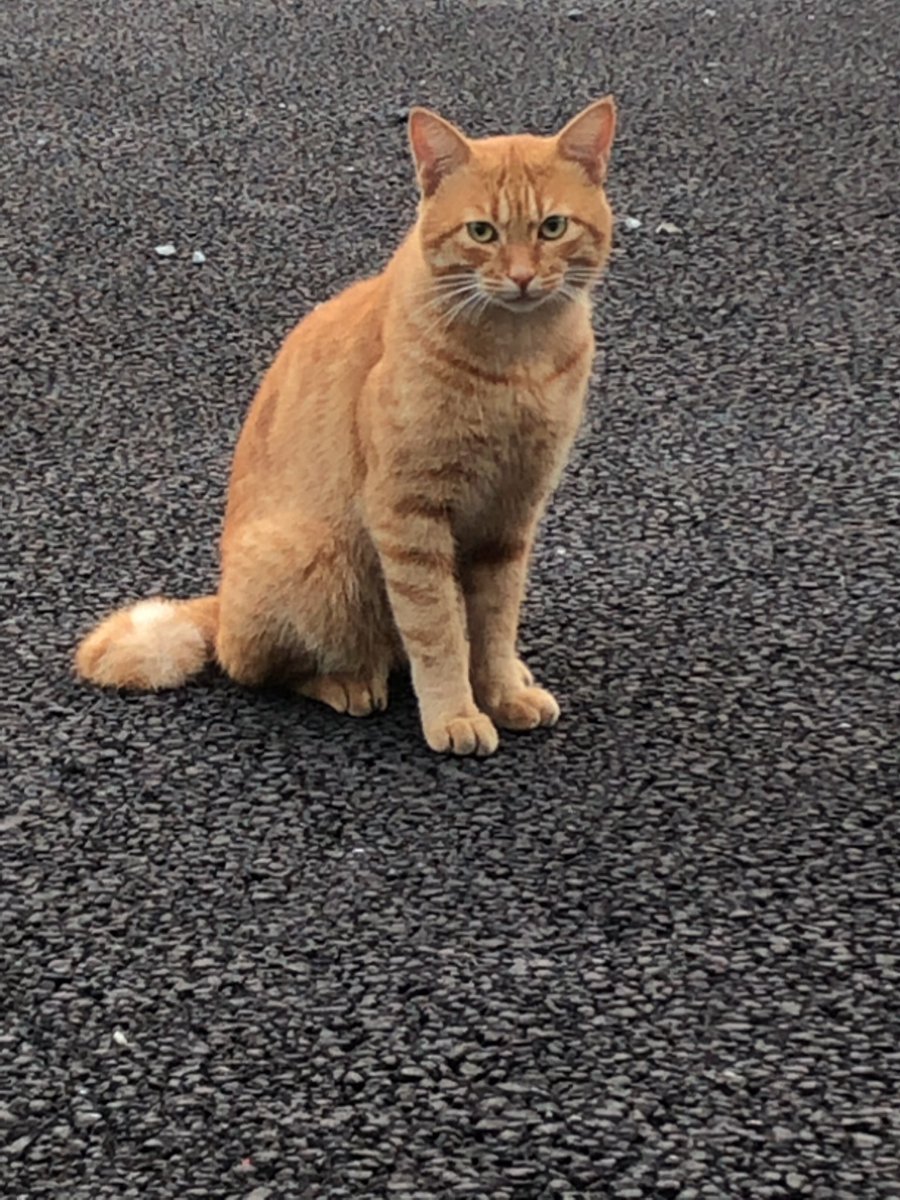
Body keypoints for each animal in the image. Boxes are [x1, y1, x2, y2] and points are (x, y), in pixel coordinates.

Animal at [74, 103, 619, 758]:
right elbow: (438, 631)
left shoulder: (512, 514)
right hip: (318, 560)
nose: (520, 277)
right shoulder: (408, 514)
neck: (519, 361)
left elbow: (492, 625)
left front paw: (502, 690)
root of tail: (223, 604)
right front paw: (455, 713)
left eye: (553, 228)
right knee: (258, 667)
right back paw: (348, 681)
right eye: (482, 233)